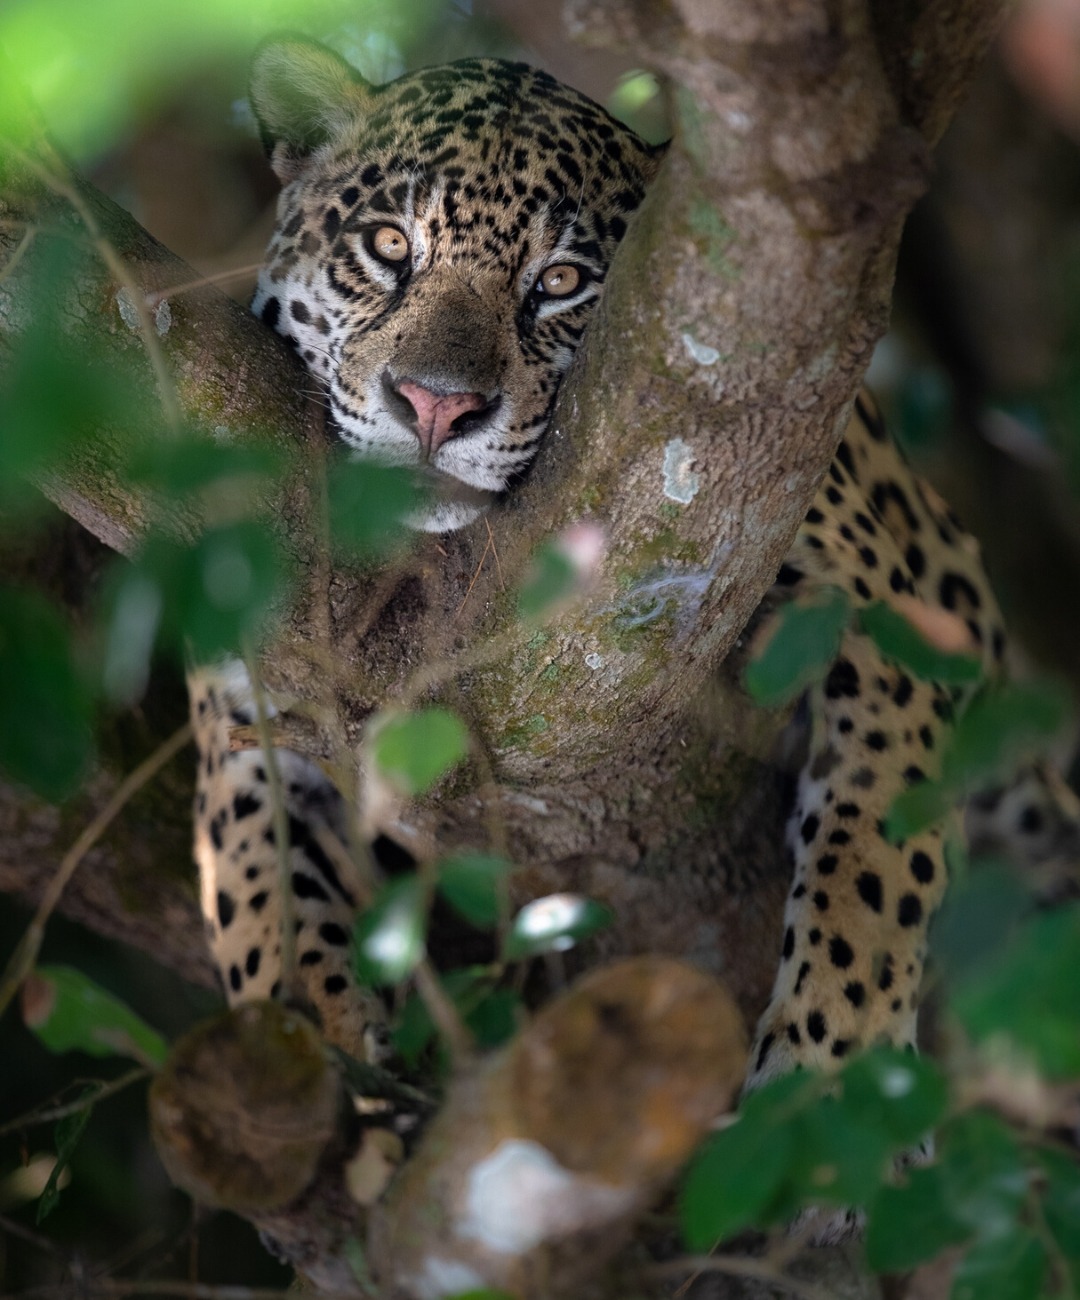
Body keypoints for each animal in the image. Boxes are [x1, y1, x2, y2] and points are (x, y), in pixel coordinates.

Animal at [189, 39, 1077, 1101]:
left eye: (564, 279)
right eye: (392, 246)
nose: (437, 407)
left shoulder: (880, 609)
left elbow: (873, 849)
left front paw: (828, 1070)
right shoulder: (240, 702)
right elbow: (255, 891)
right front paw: (313, 1042)